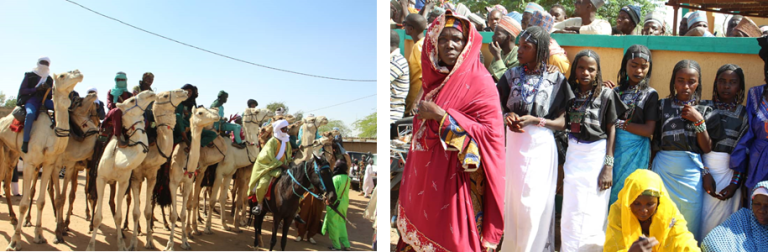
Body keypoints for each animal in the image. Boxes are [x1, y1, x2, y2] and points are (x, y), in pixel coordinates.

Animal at [0, 69, 83, 252]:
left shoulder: (48, 164)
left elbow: (41, 201)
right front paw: (15, 242)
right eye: (62, 76)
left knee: (7, 183)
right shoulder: (29, 163)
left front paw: (39, 236)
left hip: (12, 153)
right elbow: (24, 203)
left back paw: (13, 218)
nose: (78, 73)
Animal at [86, 90, 157, 252]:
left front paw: (121, 246)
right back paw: (88, 225)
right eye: (131, 100)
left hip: (113, 183)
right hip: (88, 173)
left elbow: (118, 216)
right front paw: (90, 246)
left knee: (111, 202)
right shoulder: (101, 179)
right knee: (90, 196)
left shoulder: (123, 182)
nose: (150, 93)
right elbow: (98, 217)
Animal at [125, 88, 188, 248]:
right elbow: (136, 212)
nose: (183, 91)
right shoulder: (136, 175)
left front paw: (150, 241)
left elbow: (147, 210)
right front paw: (133, 244)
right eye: (165, 95)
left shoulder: (152, 175)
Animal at [164, 106, 219, 252]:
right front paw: (170, 245)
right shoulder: (173, 183)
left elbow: (183, 213)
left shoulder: (188, 183)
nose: (217, 114)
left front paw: (185, 242)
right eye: (200, 112)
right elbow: (174, 215)